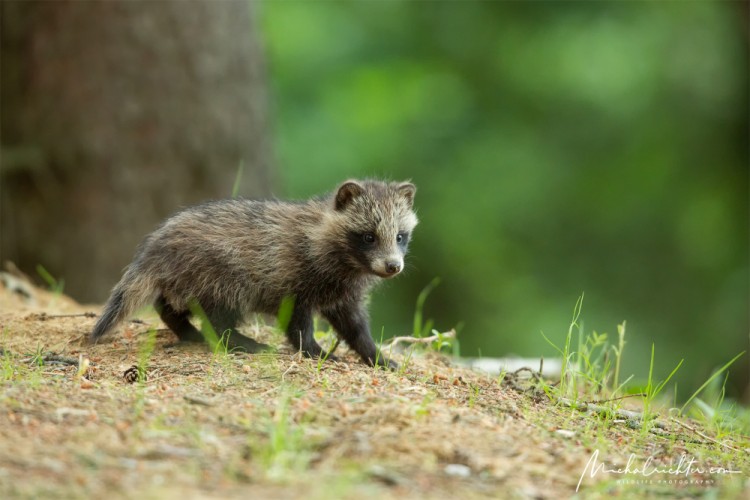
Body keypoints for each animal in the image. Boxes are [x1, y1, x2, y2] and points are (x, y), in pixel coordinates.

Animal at [92, 180, 420, 368]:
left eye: (400, 236)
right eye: (368, 237)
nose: (393, 266)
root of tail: (155, 246)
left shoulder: (343, 291)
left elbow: (353, 325)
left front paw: (374, 354)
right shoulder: (292, 273)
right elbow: (297, 323)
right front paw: (314, 350)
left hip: (187, 276)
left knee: (169, 304)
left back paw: (184, 327)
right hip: (218, 270)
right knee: (219, 314)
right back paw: (237, 339)